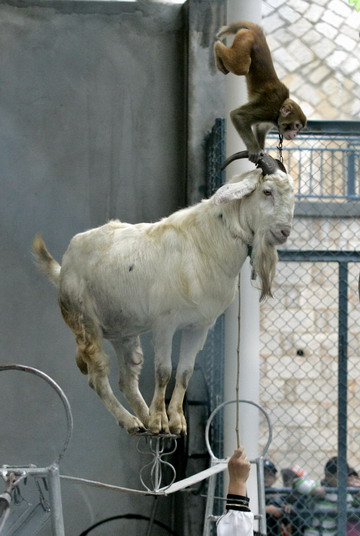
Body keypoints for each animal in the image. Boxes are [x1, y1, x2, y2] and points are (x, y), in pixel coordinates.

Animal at [32, 162, 294, 436]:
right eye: (266, 191)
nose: (284, 231)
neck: (206, 241)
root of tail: (64, 267)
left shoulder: (199, 326)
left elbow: (185, 372)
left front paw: (177, 423)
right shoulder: (164, 323)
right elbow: (163, 371)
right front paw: (160, 421)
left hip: (124, 331)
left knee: (127, 379)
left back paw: (143, 420)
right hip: (85, 322)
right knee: (98, 376)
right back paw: (132, 421)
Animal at [214, 21, 306, 162]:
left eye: (299, 129)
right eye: (296, 126)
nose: (295, 134)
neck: (279, 107)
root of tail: (256, 34)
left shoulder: (272, 119)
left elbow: (261, 128)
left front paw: (262, 150)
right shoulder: (268, 108)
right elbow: (238, 115)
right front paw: (255, 150)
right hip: (246, 39)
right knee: (241, 67)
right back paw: (217, 46)